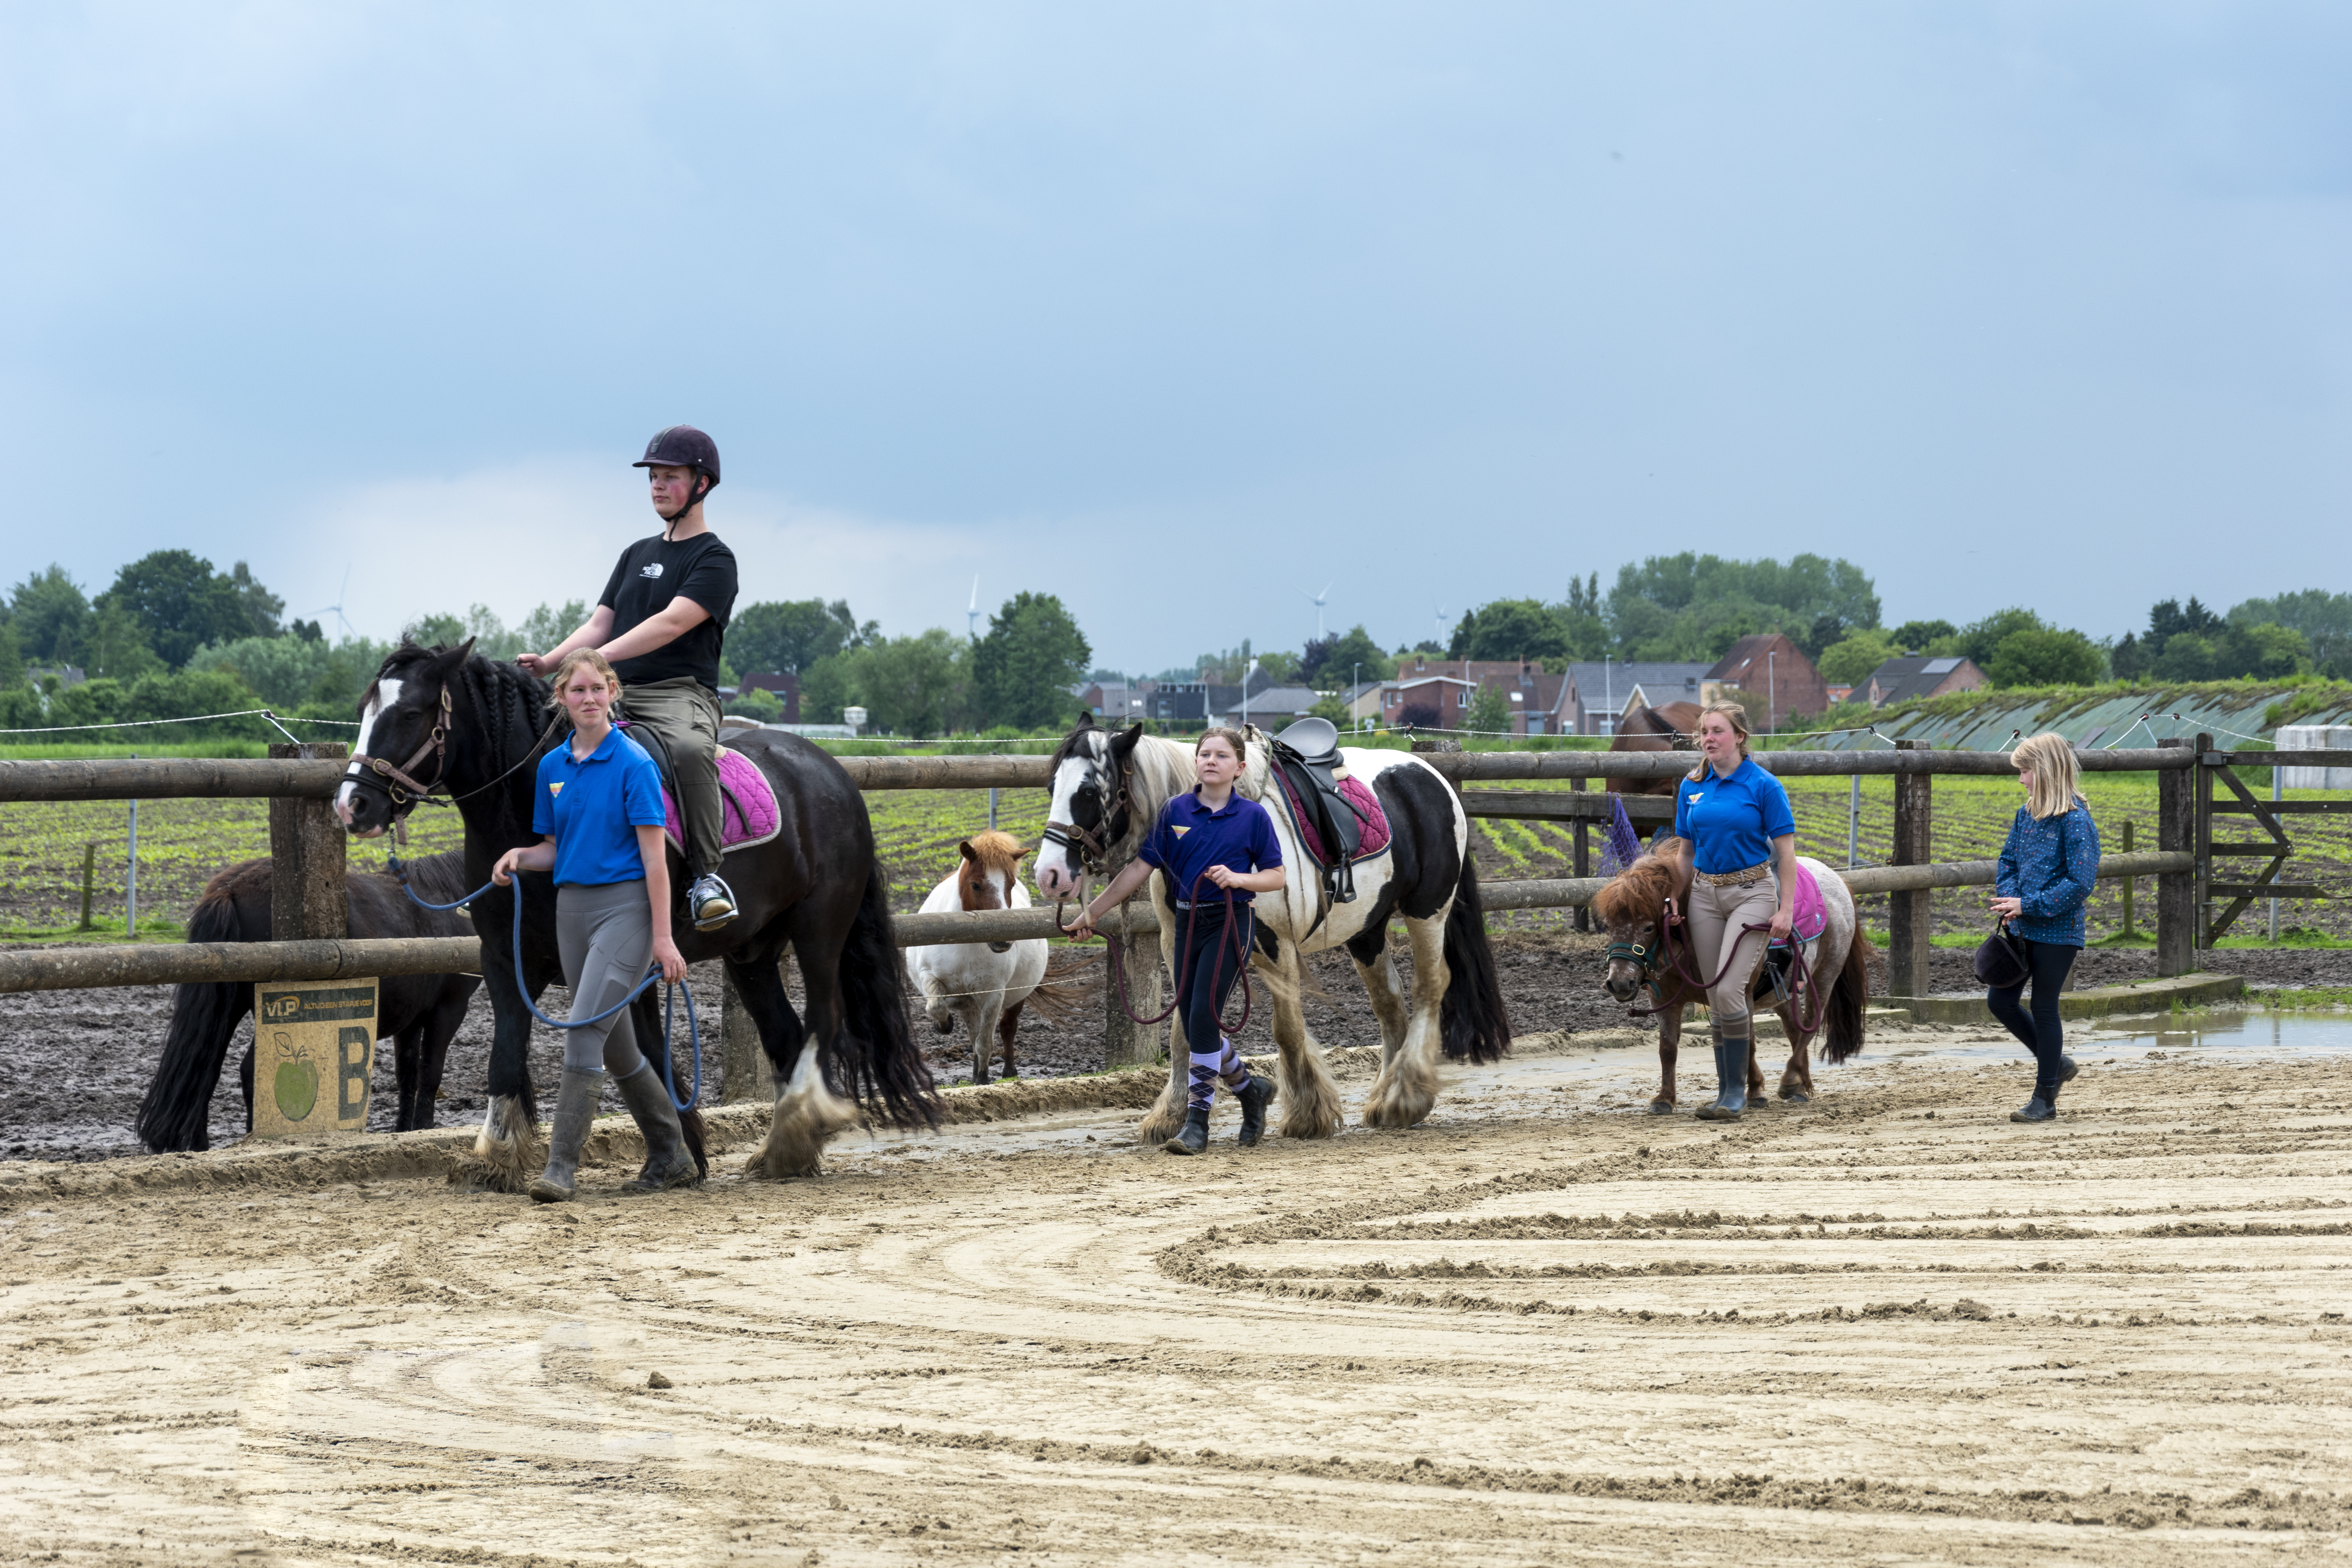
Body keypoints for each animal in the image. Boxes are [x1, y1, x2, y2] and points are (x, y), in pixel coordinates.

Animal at [135, 853, 482, 1152]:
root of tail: (231, 888)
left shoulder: (410, 1021)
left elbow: (407, 1075)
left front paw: (404, 1131)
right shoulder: (448, 1011)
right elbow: (431, 1073)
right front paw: (424, 1127)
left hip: (225, 1007)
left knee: (204, 1070)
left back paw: (200, 1146)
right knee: (247, 1070)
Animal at [332, 639, 939, 1188]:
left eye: (411, 712)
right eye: (363, 711)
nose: (352, 805)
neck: (533, 811)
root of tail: (831, 772)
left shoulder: (631, 958)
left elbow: (643, 1046)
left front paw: (679, 1153)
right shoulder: (506, 959)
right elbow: (508, 1054)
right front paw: (496, 1157)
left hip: (818, 934)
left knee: (822, 1023)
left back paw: (796, 1132)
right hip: (753, 954)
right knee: (786, 1035)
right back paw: (787, 1150)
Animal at [905, 831, 1084, 1084]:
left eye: (1011, 884)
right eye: (976, 885)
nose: (1003, 941)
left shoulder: (994, 995)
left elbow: (985, 1044)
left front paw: (982, 1079)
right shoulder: (930, 976)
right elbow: (937, 1006)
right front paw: (944, 1025)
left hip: (1016, 996)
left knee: (1007, 1028)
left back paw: (1009, 1070)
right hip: (970, 1003)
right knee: (973, 1033)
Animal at [1033, 717, 1513, 1140]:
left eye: (1089, 790)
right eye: (1052, 787)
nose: (1049, 875)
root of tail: (1433, 776)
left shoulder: (1273, 942)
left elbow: (1286, 1028)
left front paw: (1309, 1114)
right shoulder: (1181, 942)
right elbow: (1184, 1029)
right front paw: (1171, 1116)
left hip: (1427, 910)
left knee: (1430, 987)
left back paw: (1404, 1096)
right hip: (1368, 929)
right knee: (1390, 1004)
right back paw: (1387, 1099)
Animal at [1590, 851, 1873, 1112]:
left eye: (1649, 927)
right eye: (1608, 925)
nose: (1619, 982)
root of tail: (1838, 879)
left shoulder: (1740, 993)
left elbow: (1747, 1043)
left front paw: (1755, 1092)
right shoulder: (1664, 1001)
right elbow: (1668, 1049)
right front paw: (1665, 1099)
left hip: (1825, 976)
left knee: (1810, 1025)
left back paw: (1791, 1081)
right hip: (1782, 993)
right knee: (1795, 1029)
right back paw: (1801, 1086)